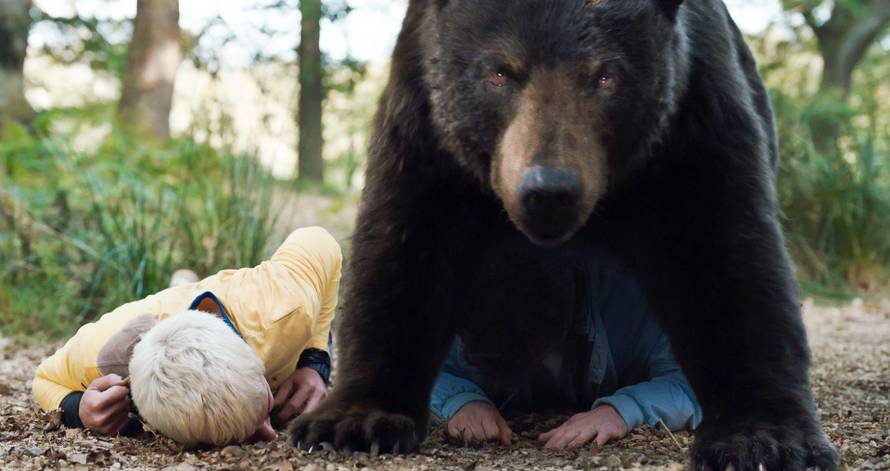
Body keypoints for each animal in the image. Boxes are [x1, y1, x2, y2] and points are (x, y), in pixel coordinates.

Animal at [290, 0, 839, 469]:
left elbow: (727, 255)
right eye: (500, 71)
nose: (549, 190)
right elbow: (405, 242)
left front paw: (765, 440)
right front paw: (354, 421)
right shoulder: (424, 109)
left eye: (606, 75)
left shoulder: (695, 112)